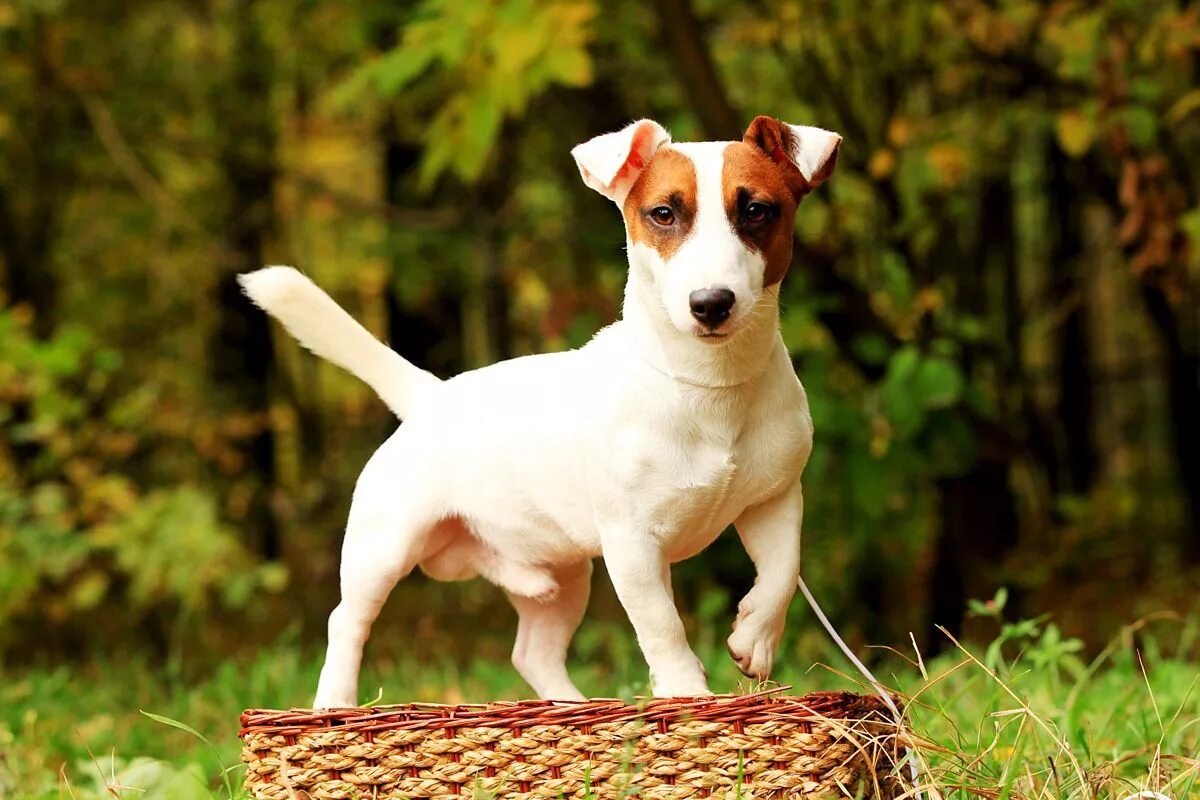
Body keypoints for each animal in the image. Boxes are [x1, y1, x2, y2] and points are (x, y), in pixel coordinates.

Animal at [238, 115, 840, 710]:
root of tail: (431, 395)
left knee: (532, 653)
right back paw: (334, 704)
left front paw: (754, 638)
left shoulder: (775, 501)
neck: (709, 384)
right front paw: (686, 692)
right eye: (663, 213)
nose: (711, 303)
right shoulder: (633, 542)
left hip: (564, 576)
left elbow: (783, 571)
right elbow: (662, 625)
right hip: (383, 545)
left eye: (757, 210)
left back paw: (573, 707)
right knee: (347, 621)